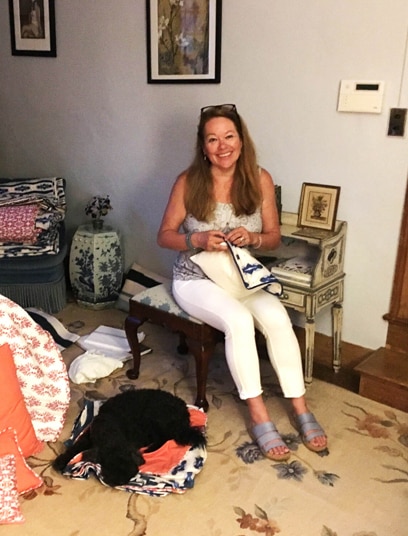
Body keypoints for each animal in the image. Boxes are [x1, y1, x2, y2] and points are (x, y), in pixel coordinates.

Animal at [53, 388, 207, 488]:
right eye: (111, 467)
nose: (120, 482)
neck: (111, 431)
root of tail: (184, 411)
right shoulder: (88, 436)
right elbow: (75, 447)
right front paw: (60, 461)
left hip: (158, 421)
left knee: (166, 437)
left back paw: (150, 449)